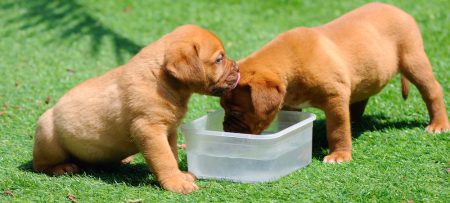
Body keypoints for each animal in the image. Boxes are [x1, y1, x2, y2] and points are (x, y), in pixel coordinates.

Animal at [33, 25, 241, 193]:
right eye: (219, 59)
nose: (238, 68)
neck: (162, 80)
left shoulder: (169, 131)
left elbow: (172, 155)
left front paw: (180, 175)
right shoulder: (149, 129)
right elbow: (165, 159)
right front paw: (176, 182)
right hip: (49, 141)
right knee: (39, 165)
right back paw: (62, 168)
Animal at [220, 3, 448, 163]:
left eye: (237, 112)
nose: (225, 129)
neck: (290, 65)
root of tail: (400, 10)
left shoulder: (334, 98)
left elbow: (337, 129)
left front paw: (339, 155)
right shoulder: (291, 103)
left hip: (413, 59)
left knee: (432, 91)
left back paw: (439, 124)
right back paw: (354, 121)